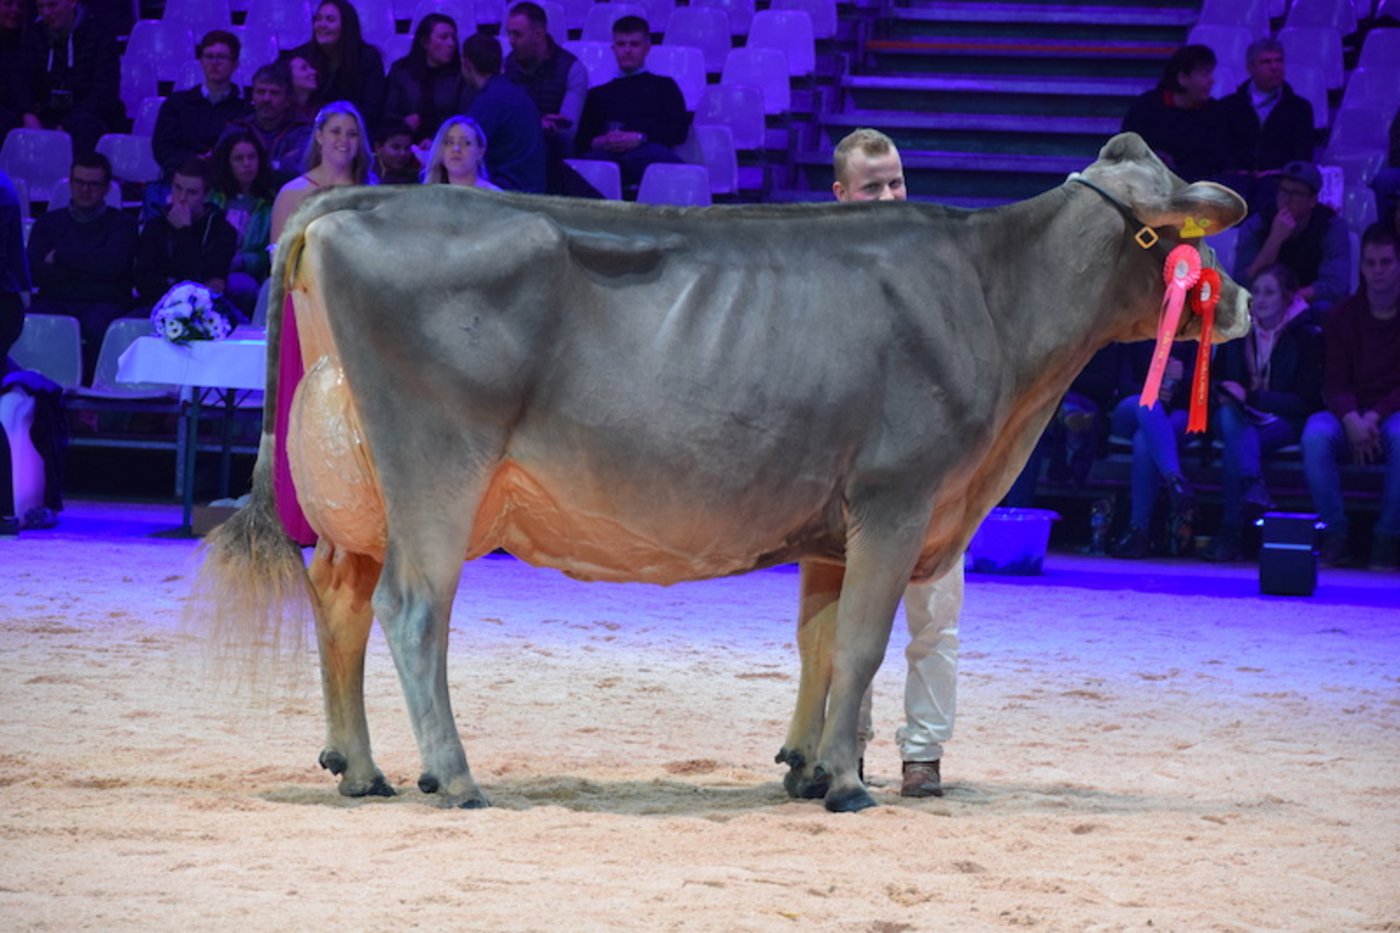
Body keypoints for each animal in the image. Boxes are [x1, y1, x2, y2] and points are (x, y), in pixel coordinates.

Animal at [197, 133, 1249, 813]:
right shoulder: (901, 497)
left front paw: (808, 767)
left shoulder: (836, 523)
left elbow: (823, 645)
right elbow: (863, 645)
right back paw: (452, 777)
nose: (1234, 300)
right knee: (413, 610)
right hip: (435, 471)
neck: (993, 295)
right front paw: (851, 787)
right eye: (1182, 243)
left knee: (339, 598)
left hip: (361, 490)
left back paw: (361, 768)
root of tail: (369, 196)